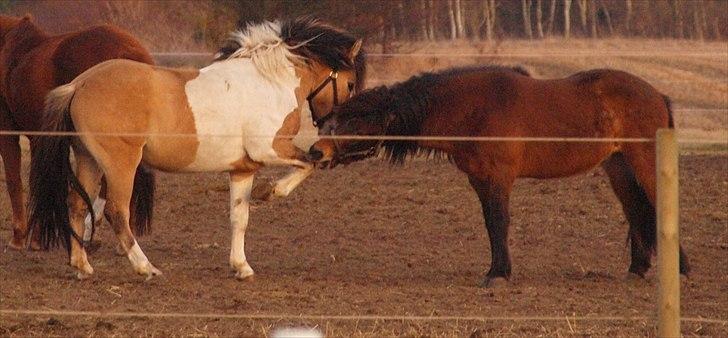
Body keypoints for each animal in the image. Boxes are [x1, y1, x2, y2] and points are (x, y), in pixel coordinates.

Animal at [310, 64, 692, 286]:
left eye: (355, 121)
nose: (317, 152)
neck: (474, 108)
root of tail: (656, 94)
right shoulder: (480, 182)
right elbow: (490, 225)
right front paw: (496, 269)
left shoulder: (498, 180)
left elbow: (499, 222)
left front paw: (498, 275)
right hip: (619, 169)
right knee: (635, 211)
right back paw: (637, 270)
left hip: (644, 164)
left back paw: (681, 270)